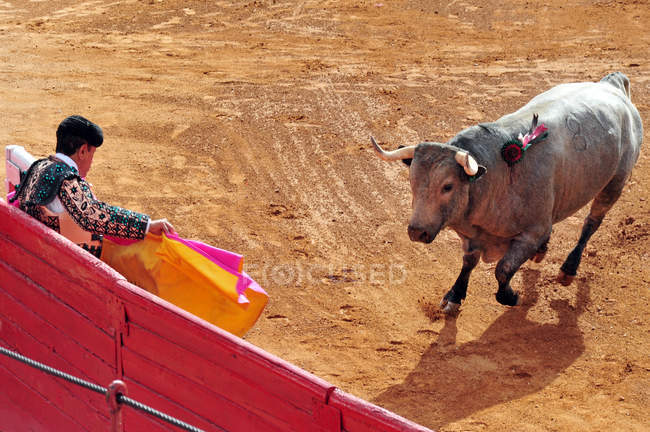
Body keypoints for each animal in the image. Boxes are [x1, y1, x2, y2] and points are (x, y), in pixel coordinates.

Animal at [372, 71, 640, 314]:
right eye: (412, 181)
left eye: (447, 186)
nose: (416, 232)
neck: (496, 177)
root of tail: (613, 84)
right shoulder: (473, 236)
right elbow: (469, 262)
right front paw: (454, 296)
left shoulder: (531, 232)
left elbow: (503, 269)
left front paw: (510, 296)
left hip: (614, 183)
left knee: (591, 223)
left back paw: (568, 269)